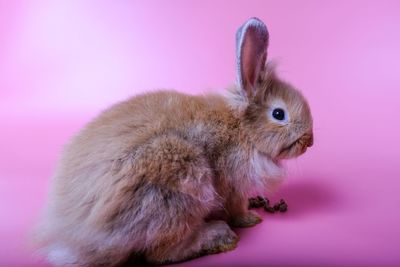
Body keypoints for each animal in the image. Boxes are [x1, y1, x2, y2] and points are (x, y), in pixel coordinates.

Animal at [33, 17, 312, 266]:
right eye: (279, 114)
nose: (309, 140)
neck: (241, 128)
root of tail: (74, 238)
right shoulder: (232, 185)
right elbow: (236, 207)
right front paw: (250, 219)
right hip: (179, 187)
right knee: (160, 254)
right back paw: (218, 236)